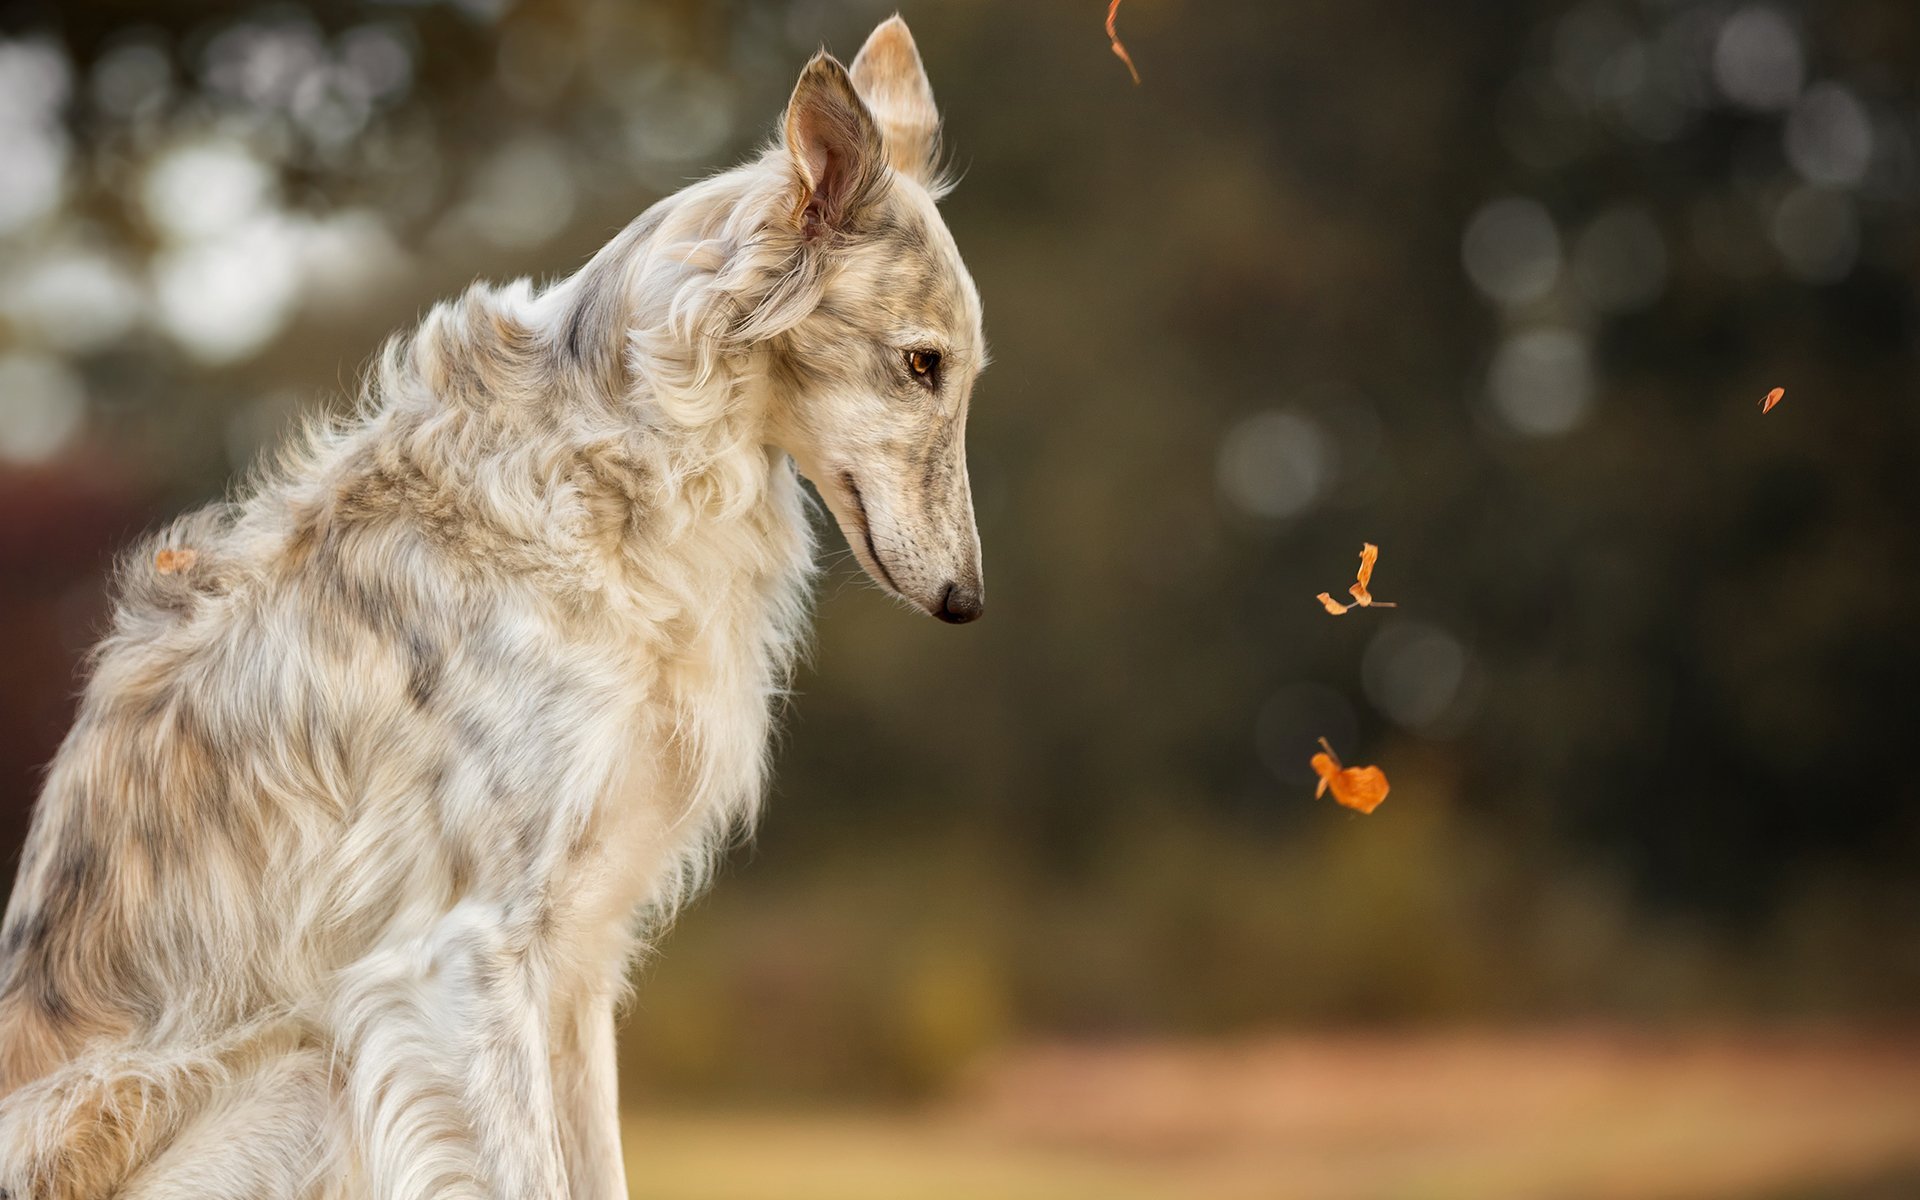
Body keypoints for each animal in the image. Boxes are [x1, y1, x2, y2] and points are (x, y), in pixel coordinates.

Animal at [0, 16, 983, 1190]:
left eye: (961, 370)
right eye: (920, 363)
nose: (968, 599)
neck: (614, 478)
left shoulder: (576, 957)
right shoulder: (467, 954)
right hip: (309, 1065)